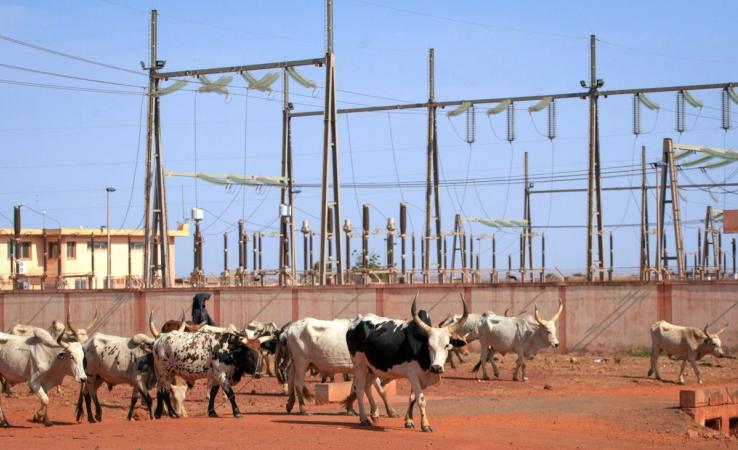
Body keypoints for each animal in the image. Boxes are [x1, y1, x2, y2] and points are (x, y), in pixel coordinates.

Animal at [346, 293, 468, 432]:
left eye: (447, 345)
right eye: (429, 346)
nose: (436, 368)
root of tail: (355, 321)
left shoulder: (418, 377)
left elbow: (412, 398)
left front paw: (409, 421)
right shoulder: (413, 375)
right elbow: (420, 399)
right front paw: (425, 425)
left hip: (373, 367)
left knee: (367, 386)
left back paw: (375, 414)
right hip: (359, 365)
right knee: (360, 388)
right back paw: (364, 419)